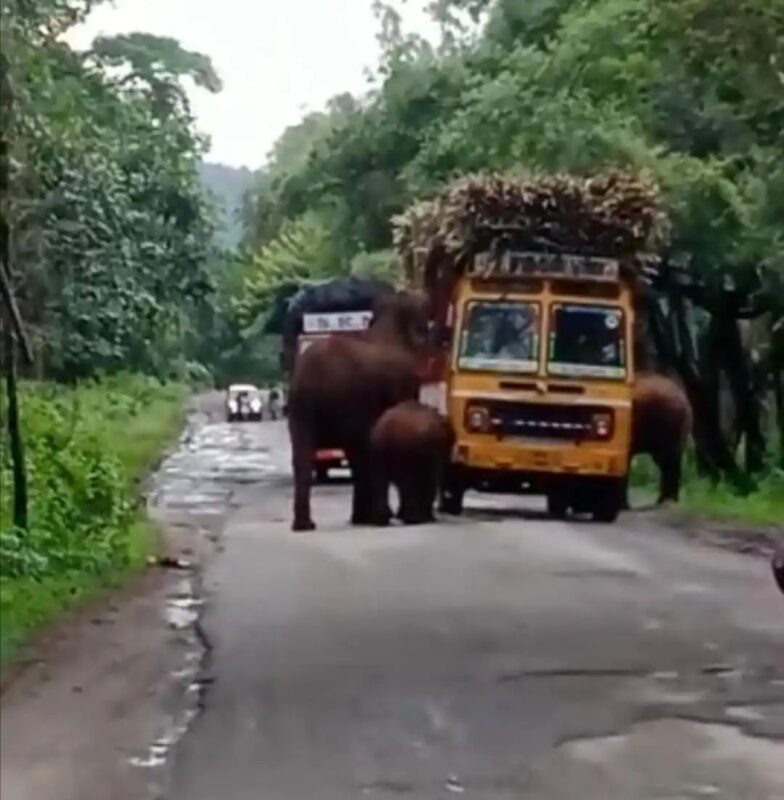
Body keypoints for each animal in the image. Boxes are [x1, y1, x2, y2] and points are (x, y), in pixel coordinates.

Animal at [288, 290, 428, 532]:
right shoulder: (403, 383)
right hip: (348, 398)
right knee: (357, 451)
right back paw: (364, 517)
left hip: (300, 407)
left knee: (303, 457)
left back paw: (305, 525)